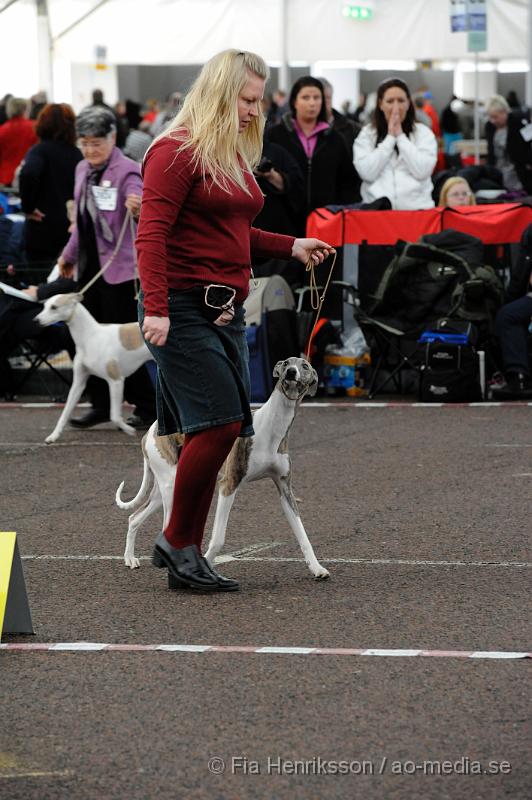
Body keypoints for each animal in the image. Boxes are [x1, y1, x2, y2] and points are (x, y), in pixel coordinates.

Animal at [35, 294, 152, 444]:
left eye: (54, 307)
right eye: (44, 306)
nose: (36, 320)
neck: (89, 336)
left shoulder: (116, 381)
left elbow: (114, 416)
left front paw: (129, 430)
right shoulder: (78, 383)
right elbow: (65, 412)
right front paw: (53, 436)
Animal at [117, 360, 328, 580]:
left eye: (305, 366)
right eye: (286, 363)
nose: (291, 372)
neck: (272, 428)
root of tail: (150, 431)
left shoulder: (284, 488)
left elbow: (302, 534)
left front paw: (317, 568)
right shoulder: (228, 484)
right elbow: (218, 537)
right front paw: (206, 565)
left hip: (166, 488)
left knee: (134, 518)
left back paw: (130, 558)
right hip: (171, 486)